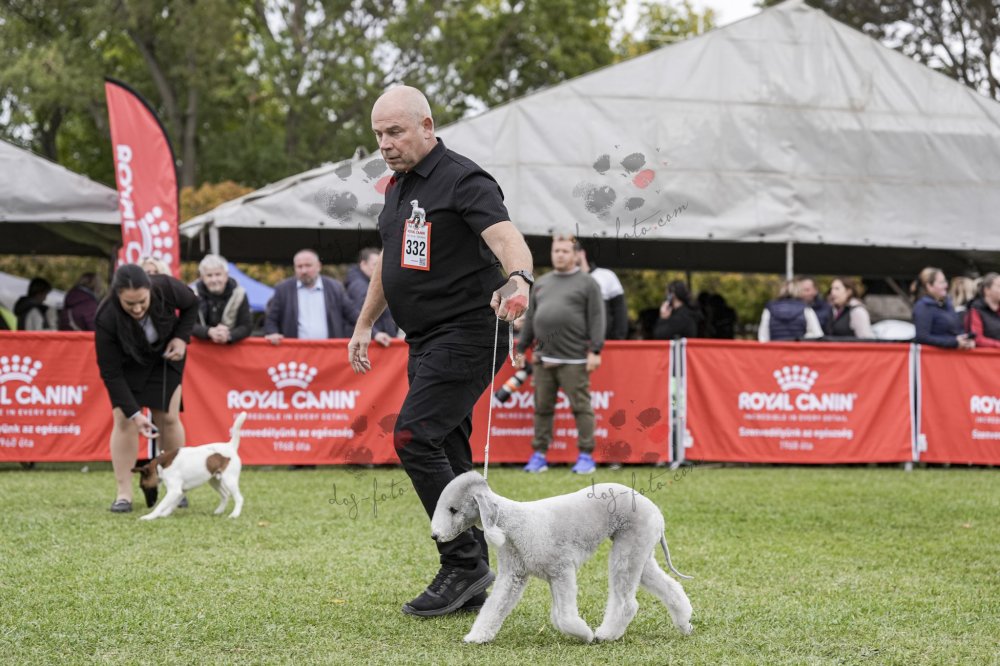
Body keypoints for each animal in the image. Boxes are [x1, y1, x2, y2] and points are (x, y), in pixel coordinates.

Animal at [430, 471, 693, 644]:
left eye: (453, 509)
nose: (435, 535)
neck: (512, 524)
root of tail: (656, 511)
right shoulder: (513, 576)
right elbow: (494, 606)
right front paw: (476, 637)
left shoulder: (561, 570)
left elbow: (564, 617)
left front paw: (584, 634)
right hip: (639, 551)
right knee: (670, 587)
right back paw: (684, 623)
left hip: (627, 551)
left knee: (627, 603)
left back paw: (605, 634)